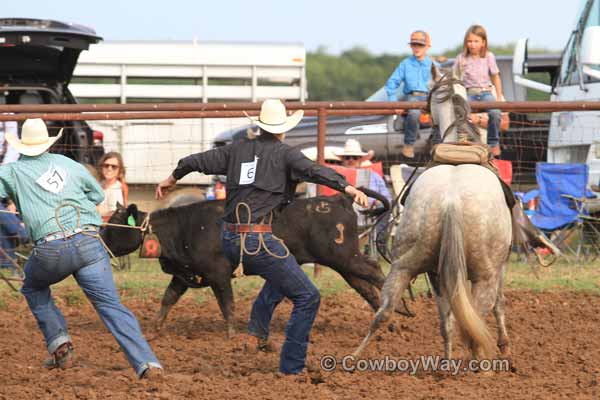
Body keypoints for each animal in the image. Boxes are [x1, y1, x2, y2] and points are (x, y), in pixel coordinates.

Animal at [354, 74, 512, 362]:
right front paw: (504, 343)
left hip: (406, 264)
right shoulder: (500, 266)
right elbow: (500, 302)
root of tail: (451, 200)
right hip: (484, 276)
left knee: (386, 313)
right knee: (477, 324)